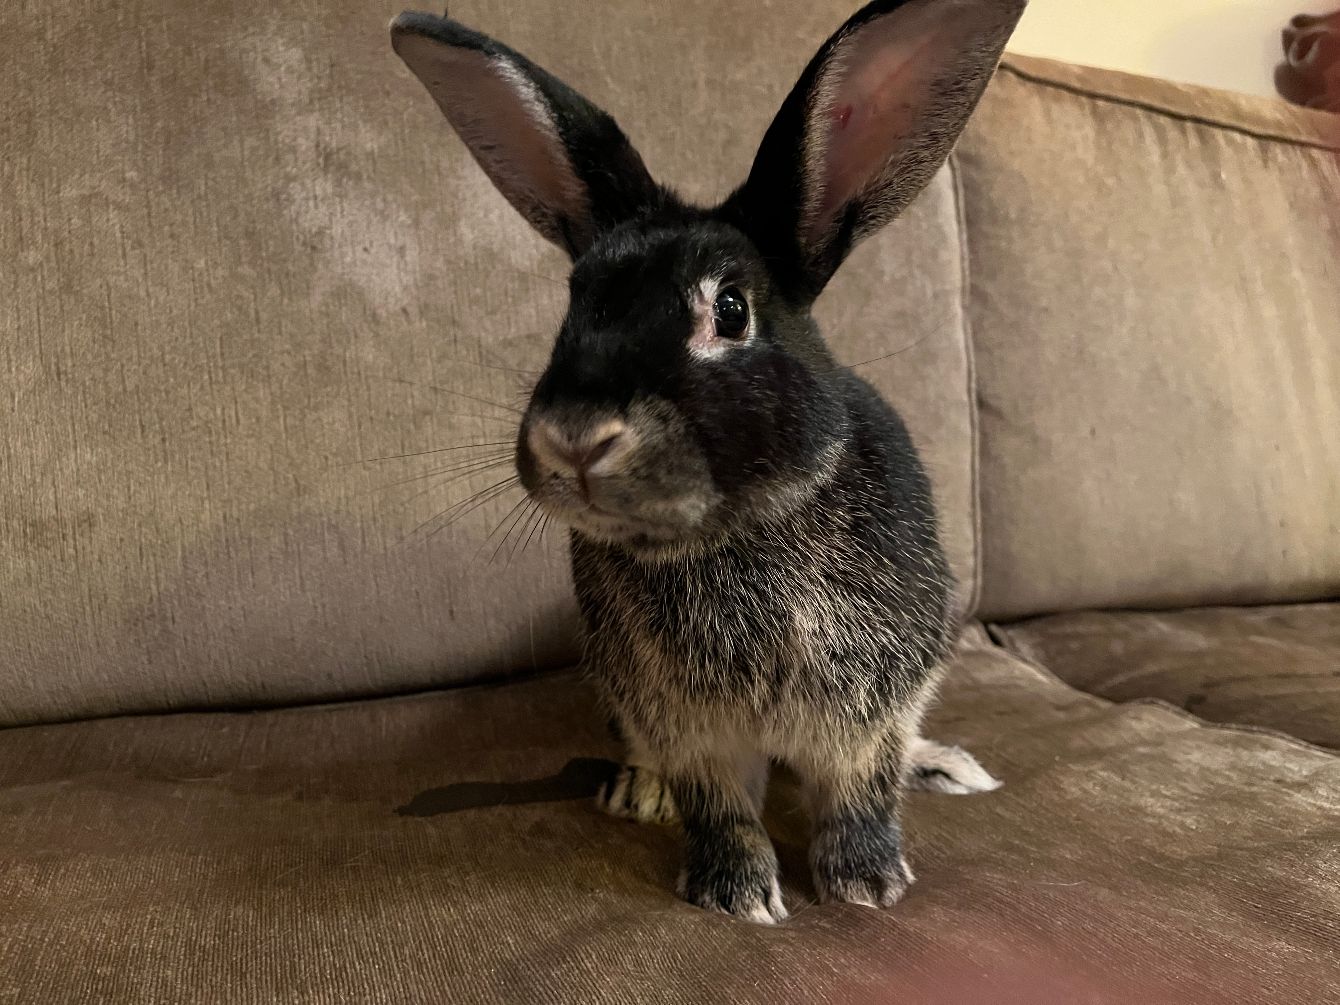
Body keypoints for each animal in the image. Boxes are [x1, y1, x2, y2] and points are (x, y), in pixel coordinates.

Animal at [391, 0, 1024, 923]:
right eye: (574, 305)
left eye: (730, 310)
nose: (574, 436)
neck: (731, 537)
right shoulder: (685, 724)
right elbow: (718, 804)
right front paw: (736, 893)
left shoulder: (868, 709)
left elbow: (861, 788)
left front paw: (868, 882)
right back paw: (638, 792)